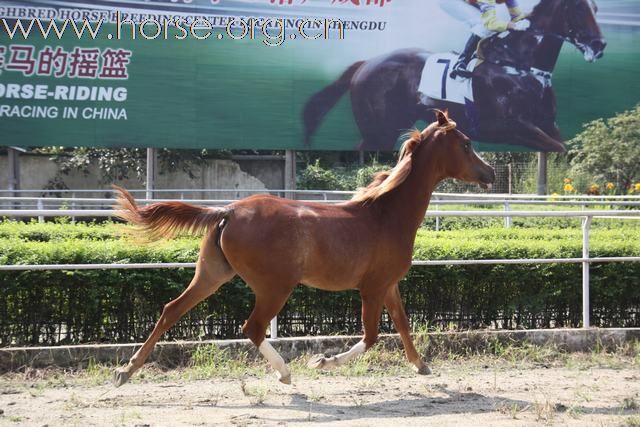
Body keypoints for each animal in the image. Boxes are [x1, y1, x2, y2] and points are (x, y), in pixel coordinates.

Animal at [114, 111, 496, 388]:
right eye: (466, 144)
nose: (490, 172)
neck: (385, 214)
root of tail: (228, 211)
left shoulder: (389, 285)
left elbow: (402, 323)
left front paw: (421, 365)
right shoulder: (372, 288)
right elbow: (371, 336)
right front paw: (322, 361)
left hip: (212, 274)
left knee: (171, 310)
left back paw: (125, 372)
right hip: (274, 287)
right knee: (252, 327)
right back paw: (284, 373)